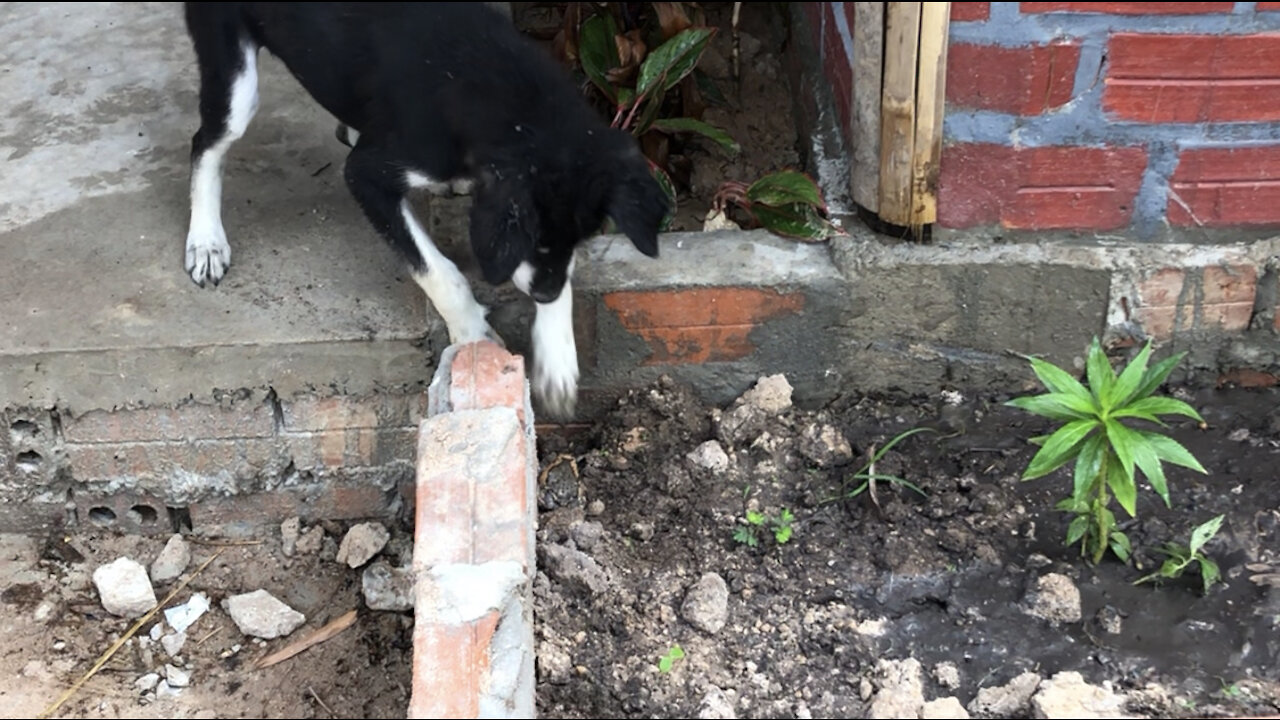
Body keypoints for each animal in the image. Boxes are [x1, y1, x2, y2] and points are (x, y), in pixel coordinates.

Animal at [180, 5, 670, 417]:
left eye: (583, 237)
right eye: (533, 237)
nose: (546, 294)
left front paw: (557, 359)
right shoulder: (369, 175)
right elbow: (437, 271)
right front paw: (473, 337)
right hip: (234, 78)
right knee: (206, 143)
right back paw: (206, 241)